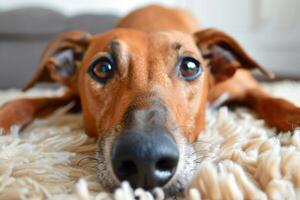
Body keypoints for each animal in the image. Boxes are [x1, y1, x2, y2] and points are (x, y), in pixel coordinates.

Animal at [0, 4, 300, 197]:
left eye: (190, 66)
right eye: (102, 68)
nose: (145, 157)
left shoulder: (249, 89)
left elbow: (276, 101)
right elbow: (22, 102)